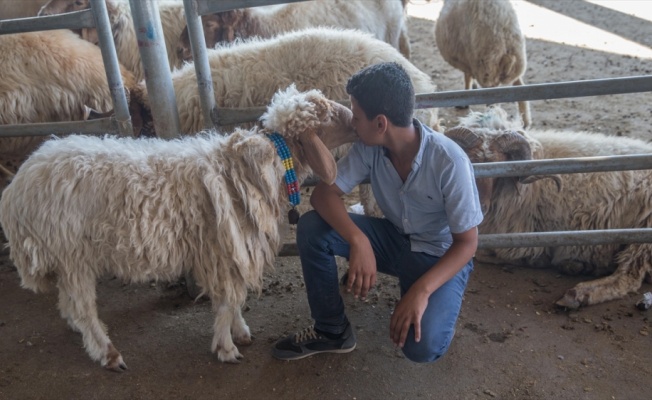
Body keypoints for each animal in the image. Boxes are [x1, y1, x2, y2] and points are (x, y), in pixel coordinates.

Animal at [0, 85, 356, 372]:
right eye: (326, 114)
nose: (353, 115)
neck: (265, 164)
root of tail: (18, 187)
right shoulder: (222, 250)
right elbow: (227, 300)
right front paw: (225, 347)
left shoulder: (228, 253)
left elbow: (234, 298)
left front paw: (240, 331)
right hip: (72, 252)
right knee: (84, 306)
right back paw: (106, 351)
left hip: (65, 257)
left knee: (69, 299)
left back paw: (78, 329)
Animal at [446, 104, 652, 308]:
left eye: (499, 167)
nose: (479, 208)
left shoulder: (519, 239)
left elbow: (481, 254)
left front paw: (538, 260)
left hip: (643, 234)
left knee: (628, 276)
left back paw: (579, 294)